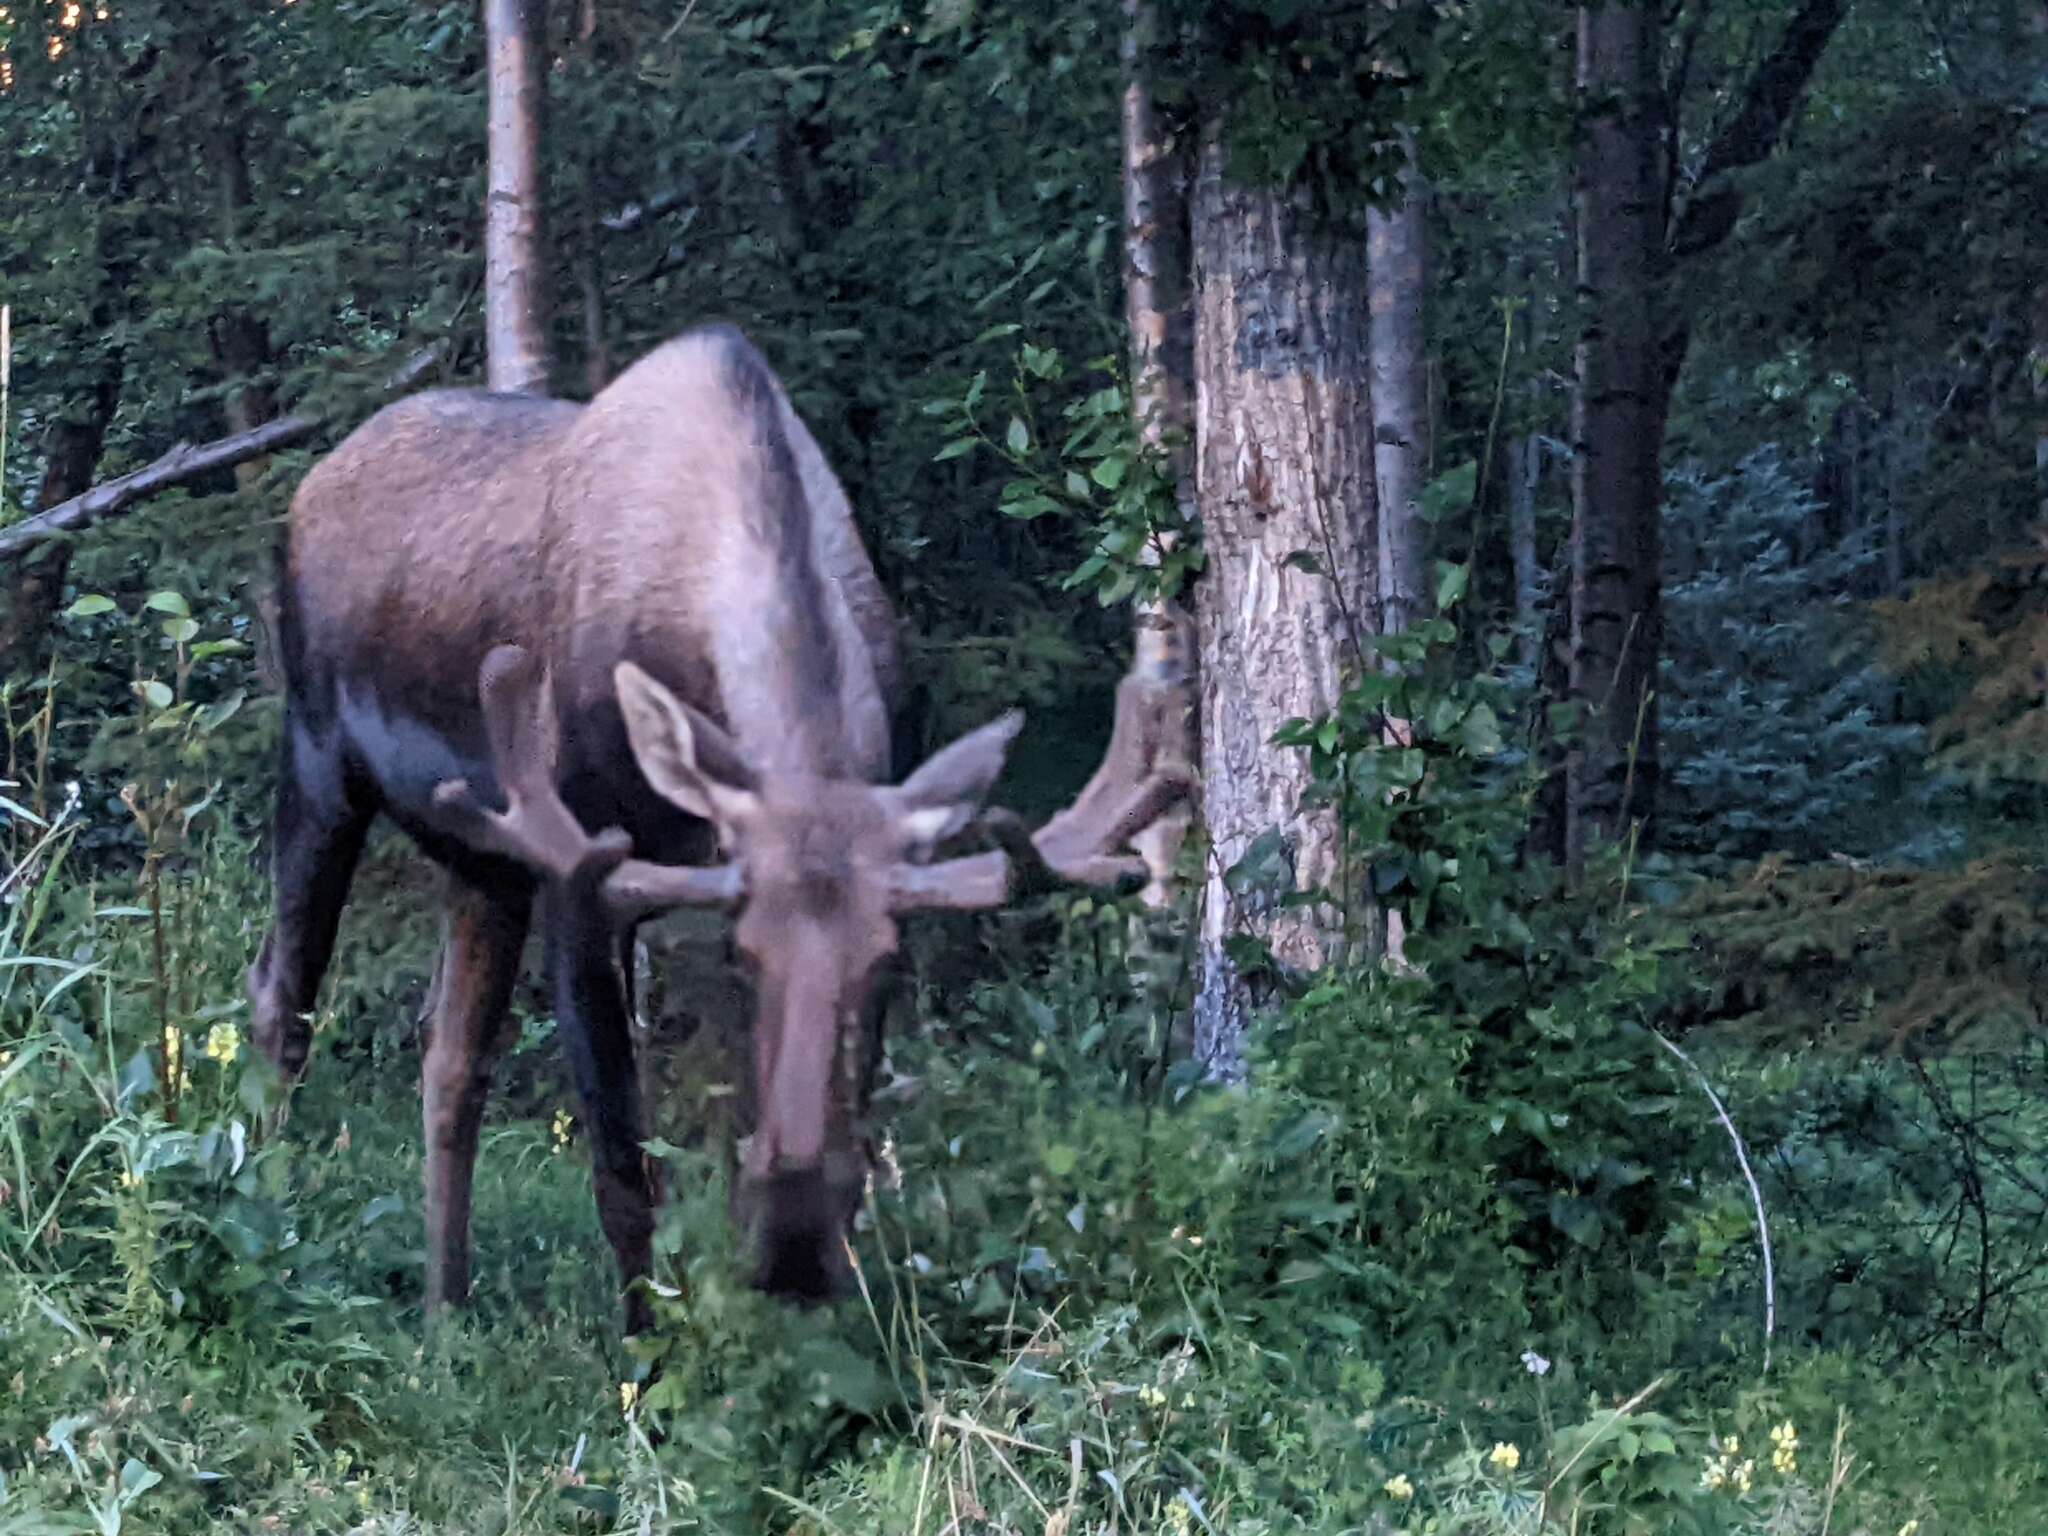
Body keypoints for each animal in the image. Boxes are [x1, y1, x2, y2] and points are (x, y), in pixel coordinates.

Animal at [247, 327, 1196, 1335]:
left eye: (886, 964)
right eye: (741, 958)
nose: (791, 1249)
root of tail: (311, 485)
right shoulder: (581, 868)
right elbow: (623, 1171)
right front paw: (643, 1357)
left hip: (481, 860)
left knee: (451, 1060)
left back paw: (445, 1311)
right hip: (318, 758)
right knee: (282, 996)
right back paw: (275, 1218)